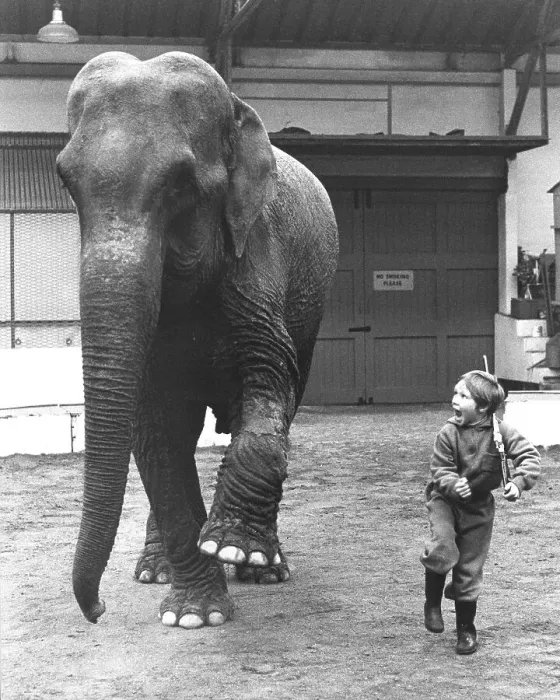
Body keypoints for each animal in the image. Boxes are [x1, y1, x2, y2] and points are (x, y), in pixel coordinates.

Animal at [57, 50, 338, 629]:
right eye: (65, 181)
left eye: (181, 184)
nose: (96, 610)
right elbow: (156, 435)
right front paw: (194, 617)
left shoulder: (258, 262)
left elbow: (269, 390)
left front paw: (234, 549)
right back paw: (155, 571)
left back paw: (264, 569)